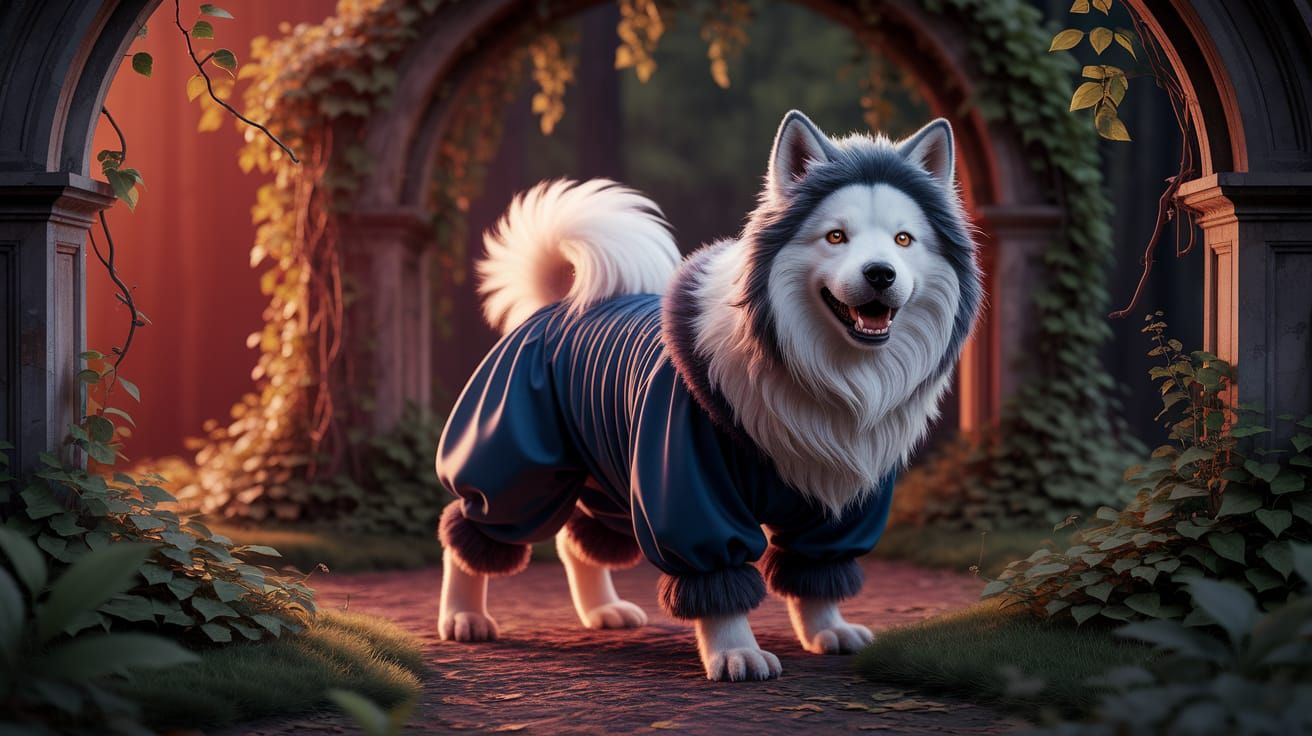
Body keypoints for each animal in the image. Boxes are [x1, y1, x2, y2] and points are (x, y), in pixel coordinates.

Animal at [435, 110, 982, 681]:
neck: (824, 370)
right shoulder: (688, 486)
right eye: (836, 236)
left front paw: (826, 628)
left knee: (576, 539)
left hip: (607, 473)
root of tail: (557, 302)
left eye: (904, 240)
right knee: (468, 528)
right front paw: (735, 651)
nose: (880, 273)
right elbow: (717, 580)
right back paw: (463, 618)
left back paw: (603, 610)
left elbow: (815, 570)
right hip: (518, 469)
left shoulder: (841, 503)